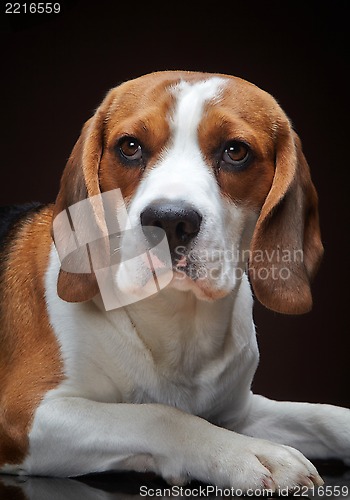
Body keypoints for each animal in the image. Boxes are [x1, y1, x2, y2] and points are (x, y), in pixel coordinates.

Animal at [0, 71, 350, 492]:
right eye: (129, 147)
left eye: (236, 151)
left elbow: (323, 415)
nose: (169, 221)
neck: (176, 323)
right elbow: (158, 414)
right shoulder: (26, 414)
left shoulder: (238, 411)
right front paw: (248, 452)